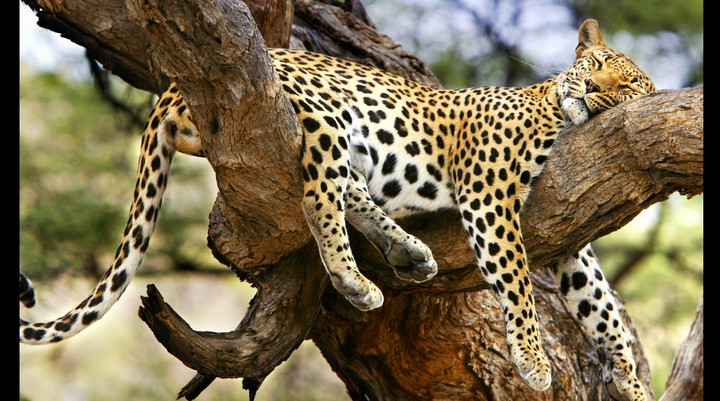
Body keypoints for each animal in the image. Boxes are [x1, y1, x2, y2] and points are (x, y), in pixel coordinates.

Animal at [20, 19, 654, 400]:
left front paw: (630, 378)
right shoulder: (488, 192)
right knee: (319, 195)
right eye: (595, 65)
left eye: (626, 86)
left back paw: (409, 251)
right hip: (325, 114)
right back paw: (356, 281)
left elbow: (601, 305)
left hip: (355, 144)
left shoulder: (571, 232)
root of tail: (172, 88)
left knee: (349, 189)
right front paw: (534, 360)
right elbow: (518, 281)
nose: (591, 91)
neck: (557, 112)